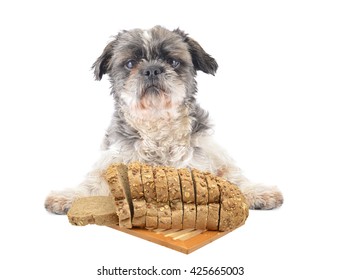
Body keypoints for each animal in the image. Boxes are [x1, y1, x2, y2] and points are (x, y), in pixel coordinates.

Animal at [45, 26, 284, 214]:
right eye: (130, 63)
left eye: (173, 61)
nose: (152, 69)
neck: (157, 124)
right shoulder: (113, 161)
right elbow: (92, 184)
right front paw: (71, 196)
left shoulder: (210, 157)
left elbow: (233, 177)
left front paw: (257, 192)